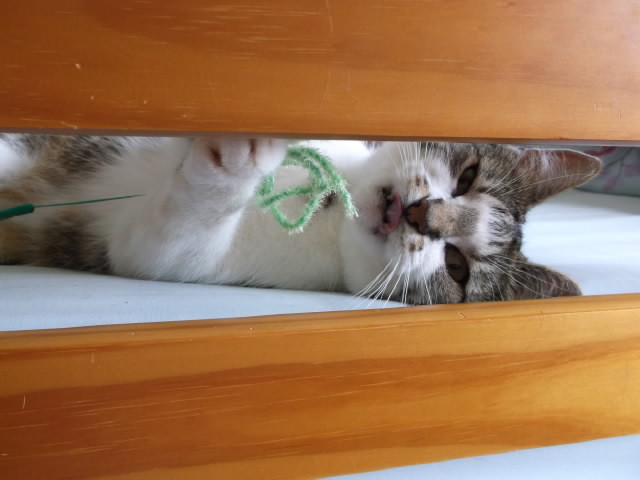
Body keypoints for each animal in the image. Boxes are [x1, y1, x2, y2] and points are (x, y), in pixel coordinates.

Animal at [0, 135, 601, 304]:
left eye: (456, 268)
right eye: (469, 174)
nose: (424, 214)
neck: (331, 213)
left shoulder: (168, 255)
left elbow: (173, 235)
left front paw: (240, 159)